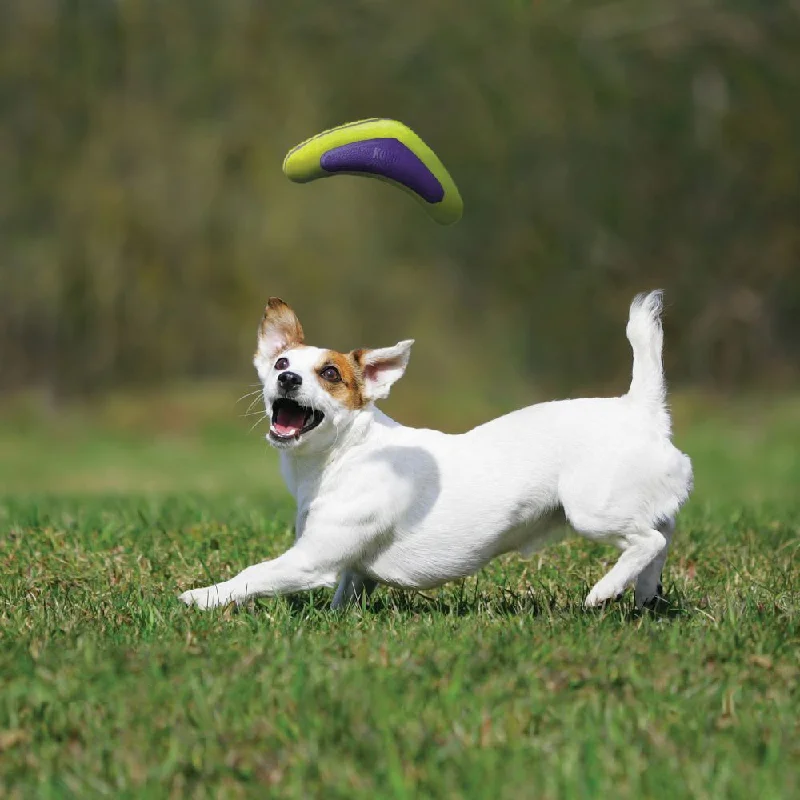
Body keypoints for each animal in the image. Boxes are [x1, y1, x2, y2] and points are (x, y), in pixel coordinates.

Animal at [178, 290, 692, 608]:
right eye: (281, 362)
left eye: (330, 374)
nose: (287, 378)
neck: (344, 455)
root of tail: (639, 406)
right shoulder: (348, 568)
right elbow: (347, 590)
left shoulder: (311, 560)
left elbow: (254, 575)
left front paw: (201, 597)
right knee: (663, 533)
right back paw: (644, 592)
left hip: (592, 510)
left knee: (648, 540)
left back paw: (605, 590)